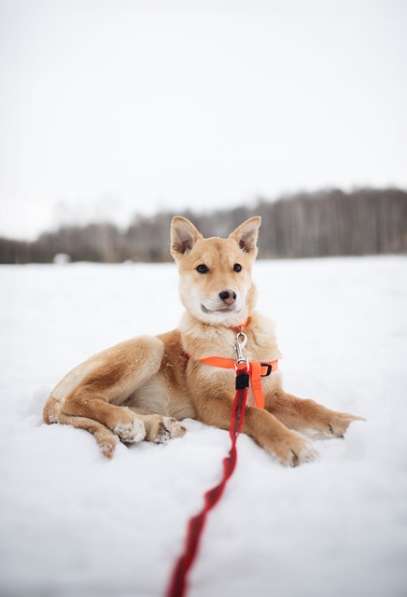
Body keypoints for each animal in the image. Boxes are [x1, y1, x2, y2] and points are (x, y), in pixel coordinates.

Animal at [43, 215, 364, 466]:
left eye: (237, 267)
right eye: (201, 269)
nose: (228, 295)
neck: (234, 336)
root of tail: (54, 395)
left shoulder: (271, 393)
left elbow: (311, 407)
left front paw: (351, 423)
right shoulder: (212, 402)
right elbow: (257, 416)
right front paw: (291, 443)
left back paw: (154, 426)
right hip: (148, 346)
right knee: (81, 397)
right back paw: (125, 422)